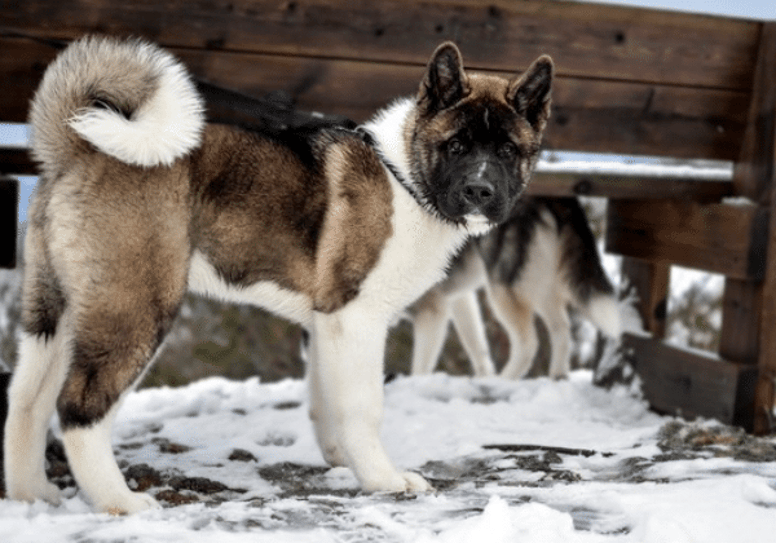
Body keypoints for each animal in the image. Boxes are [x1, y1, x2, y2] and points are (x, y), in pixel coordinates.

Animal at [4, 35, 552, 516]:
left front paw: (342, 462)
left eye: (507, 151)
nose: (480, 192)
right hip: (137, 308)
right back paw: (118, 501)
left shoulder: (326, 323)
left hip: (55, 313)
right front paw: (383, 479)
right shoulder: (356, 316)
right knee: (79, 408)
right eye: (456, 146)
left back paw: (34, 495)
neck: (405, 178)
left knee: (27, 401)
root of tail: (77, 148)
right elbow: (363, 406)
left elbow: (326, 399)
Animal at [412, 196, 620, 378]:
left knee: (529, 345)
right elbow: (478, 348)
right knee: (561, 328)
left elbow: (421, 366)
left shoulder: (432, 307)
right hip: (539, 286)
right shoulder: (457, 298)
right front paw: (484, 376)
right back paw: (557, 375)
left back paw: (503, 381)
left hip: (504, 291)